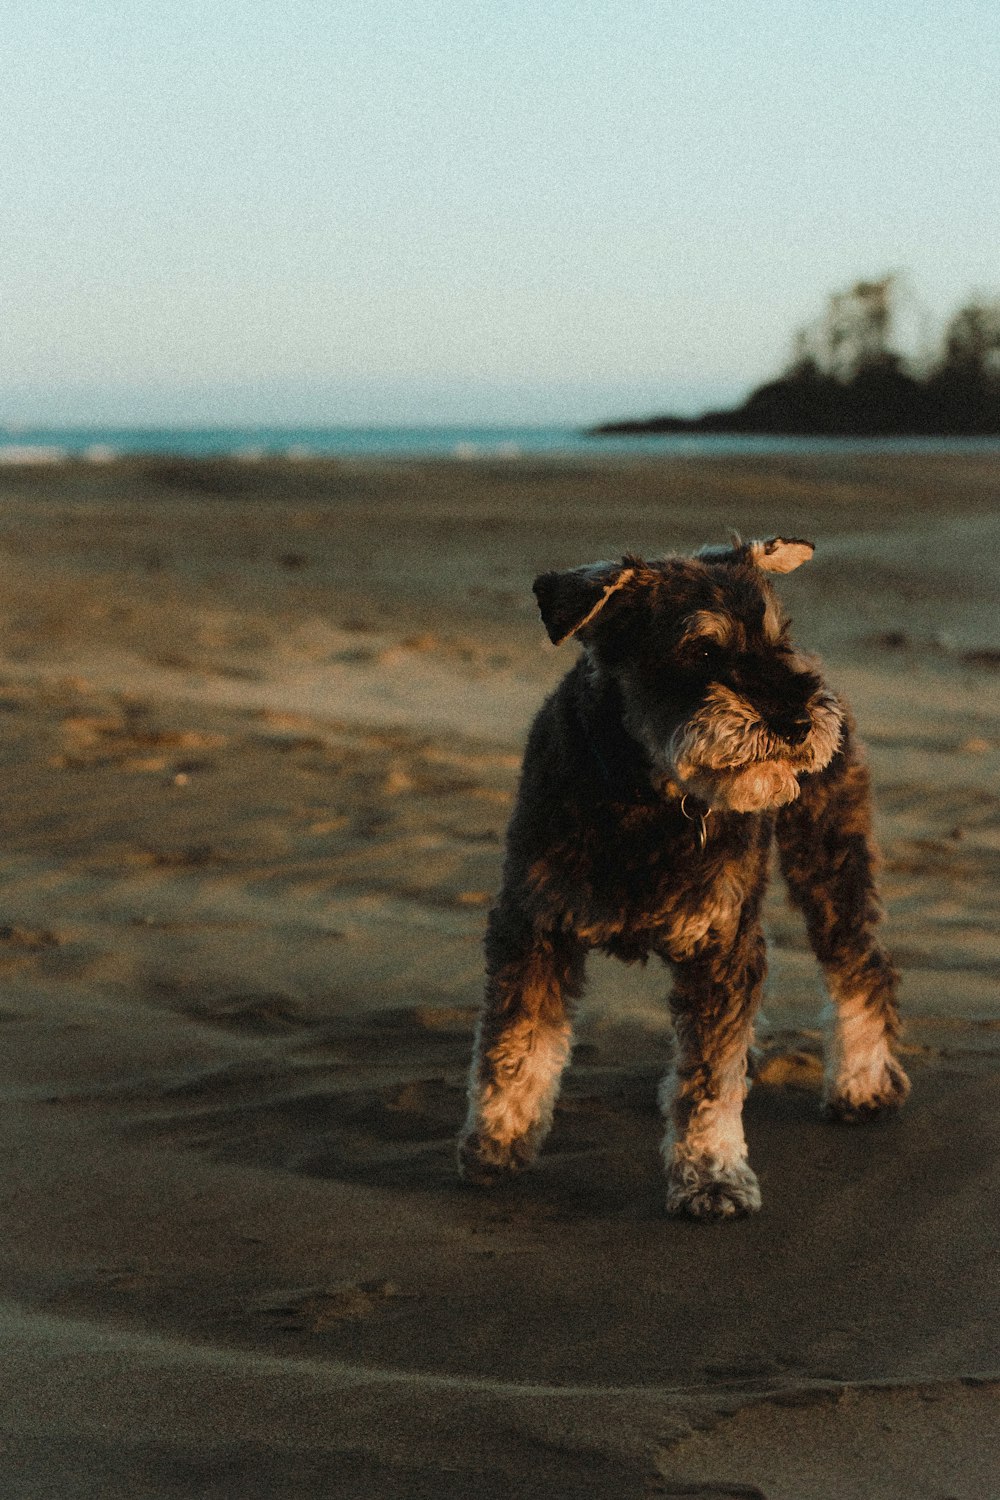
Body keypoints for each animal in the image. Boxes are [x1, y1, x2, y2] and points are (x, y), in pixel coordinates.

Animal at [458, 540, 911, 1218]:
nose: (798, 721)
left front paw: (711, 1175)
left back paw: (862, 1083)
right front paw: (497, 1141)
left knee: (860, 963)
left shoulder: (721, 946)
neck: (644, 793)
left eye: (776, 638)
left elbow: (708, 1081)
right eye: (700, 650)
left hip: (829, 857)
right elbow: (515, 1043)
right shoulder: (533, 926)